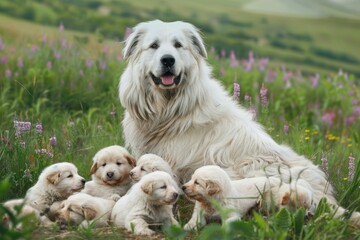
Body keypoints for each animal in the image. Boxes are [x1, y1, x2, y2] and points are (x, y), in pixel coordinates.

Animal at [181, 165, 314, 231]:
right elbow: (195, 220)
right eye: (191, 179)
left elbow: (228, 222)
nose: (182, 187)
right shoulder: (199, 212)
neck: (210, 202)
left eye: (197, 182)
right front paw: (188, 226)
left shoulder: (233, 215)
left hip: (270, 197)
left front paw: (222, 228)